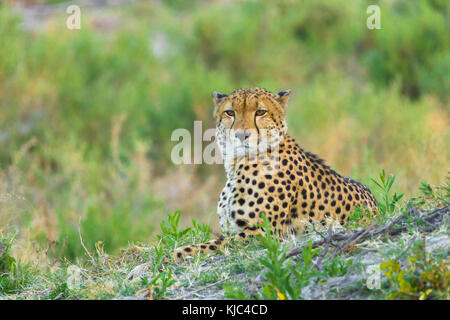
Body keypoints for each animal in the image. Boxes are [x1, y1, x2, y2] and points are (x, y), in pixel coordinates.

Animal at [174, 87, 378, 260]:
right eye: (230, 113)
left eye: (260, 112)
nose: (241, 135)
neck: (236, 164)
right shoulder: (235, 230)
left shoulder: (262, 233)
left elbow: (200, 247)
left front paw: (169, 258)